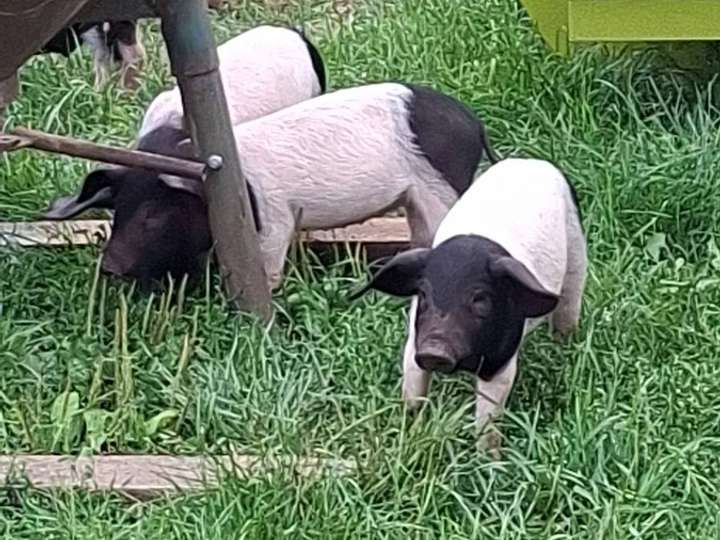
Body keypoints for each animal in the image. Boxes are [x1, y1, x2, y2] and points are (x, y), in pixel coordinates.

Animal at [43, 82, 498, 290]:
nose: (109, 267)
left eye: (154, 213)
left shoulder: (276, 218)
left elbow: (268, 264)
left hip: (439, 187)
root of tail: (474, 124)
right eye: (116, 211)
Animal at [349, 158, 587, 453]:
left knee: (569, 302)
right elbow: (413, 390)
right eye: (424, 294)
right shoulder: (415, 341)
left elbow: (488, 417)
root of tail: (530, 161)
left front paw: (489, 459)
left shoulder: (500, 360)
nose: (435, 350)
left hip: (576, 249)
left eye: (480, 299)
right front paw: (409, 428)